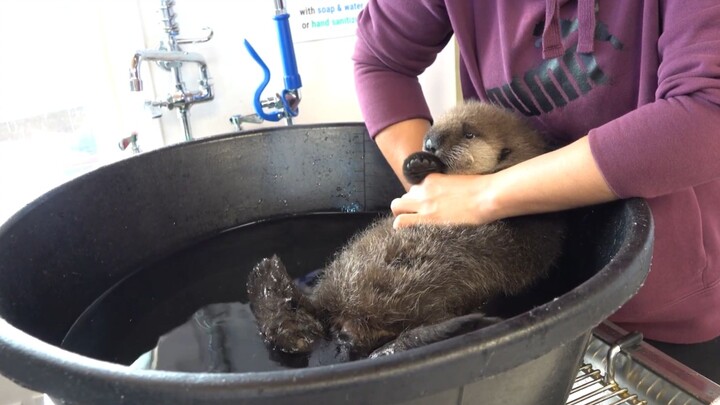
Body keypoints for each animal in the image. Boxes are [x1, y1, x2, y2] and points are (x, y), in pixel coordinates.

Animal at [247, 101, 568, 358]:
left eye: (469, 133)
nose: (430, 142)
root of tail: (344, 318)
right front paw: (419, 163)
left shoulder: (536, 226)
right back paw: (266, 276)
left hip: (425, 307)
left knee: (395, 340)